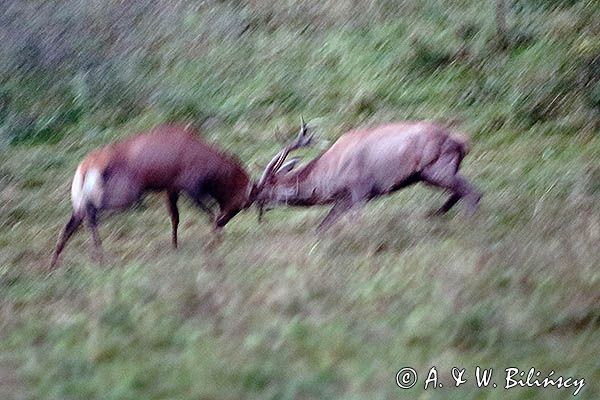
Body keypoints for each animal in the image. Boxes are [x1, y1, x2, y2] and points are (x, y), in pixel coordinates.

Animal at [48, 124, 251, 268]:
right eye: (242, 203)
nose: (225, 221)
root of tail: (87, 165)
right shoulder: (190, 188)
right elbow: (208, 212)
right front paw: (217, 236)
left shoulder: (171, 188)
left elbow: (175, 218)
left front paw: (175, 247)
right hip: (120, 198)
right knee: (90, 217)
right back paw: (100, 258)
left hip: (83, 202)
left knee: (72, 223)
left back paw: (54, 264)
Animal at [255, 119, 480, 230]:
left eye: (262, 189)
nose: (250, 202)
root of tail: (461, 142)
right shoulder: (343, 199)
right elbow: (323, 227)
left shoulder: (360, 190)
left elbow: (354, 221)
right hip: (432, 173)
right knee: (461, 192)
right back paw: (435, 214)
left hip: (436, 169)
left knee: (472, 192)